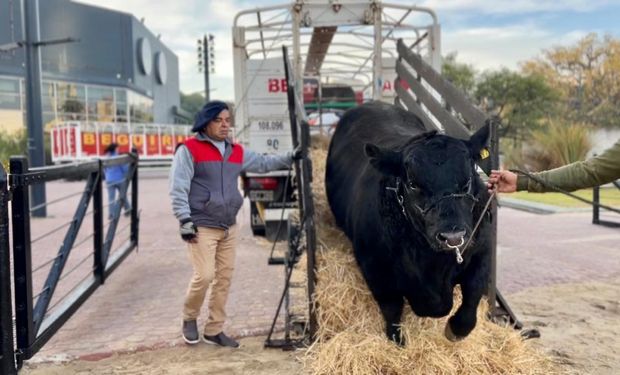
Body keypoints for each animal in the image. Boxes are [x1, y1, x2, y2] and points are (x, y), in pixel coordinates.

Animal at [326, 101, 492, 346]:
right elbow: (392, 310)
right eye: (413, 183)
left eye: (468, 179)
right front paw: (397, 342)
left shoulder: (481, 254)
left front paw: (456, 329)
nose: (452, 237)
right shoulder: (376, 270)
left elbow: (472, 298)